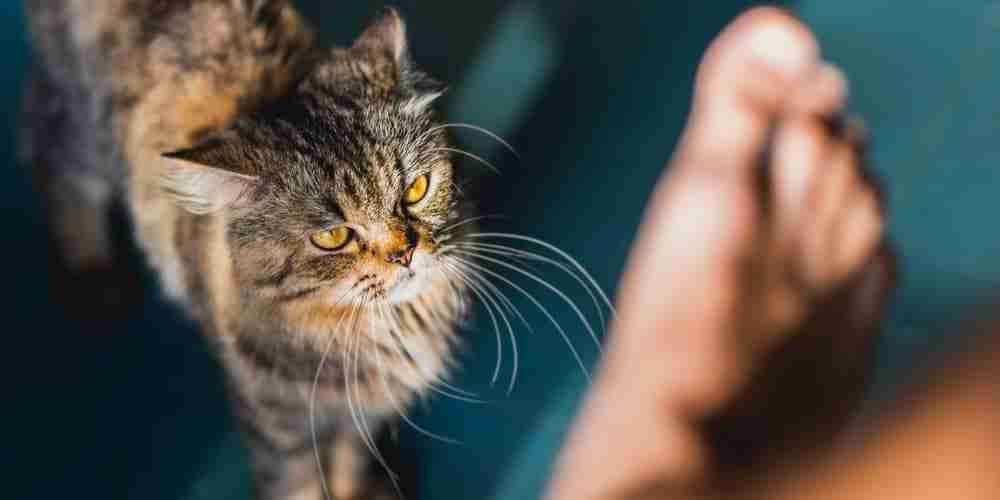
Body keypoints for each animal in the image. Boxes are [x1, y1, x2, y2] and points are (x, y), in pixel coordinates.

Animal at [22, 1, 476, 498]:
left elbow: (350, 461)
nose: (404, 254)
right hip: (82, 129)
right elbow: (298, 485)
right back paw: (91, 279)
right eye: (333, 237)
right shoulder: (275, 422)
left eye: (415, 190)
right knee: (46, 146)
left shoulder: (362, 410)